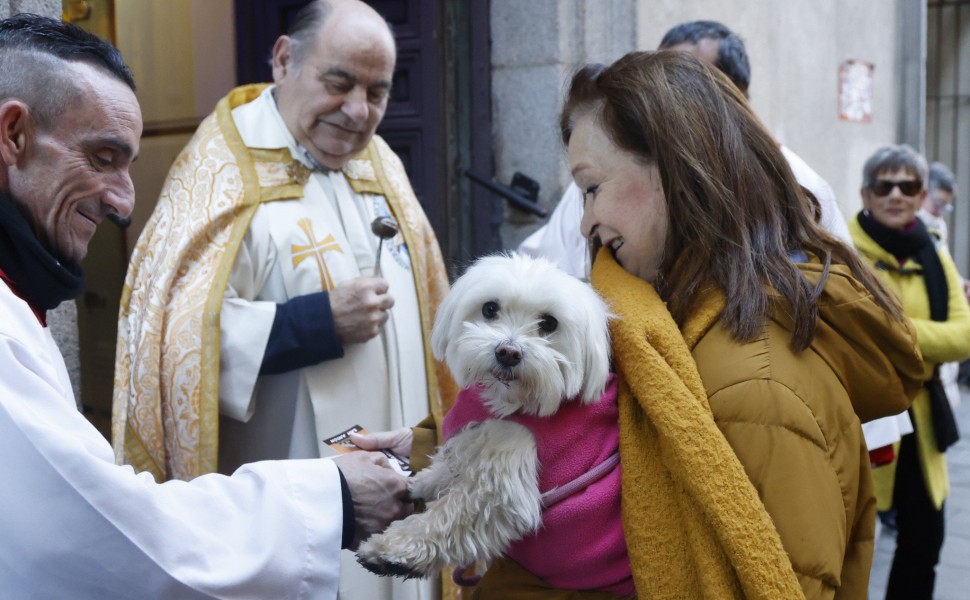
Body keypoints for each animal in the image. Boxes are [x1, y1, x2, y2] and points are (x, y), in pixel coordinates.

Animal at [360, 253, 632, 596]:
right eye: (490, 309)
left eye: (549, 323)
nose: (508, 352)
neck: (510, 403)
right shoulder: (476, 437)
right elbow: (450, 466)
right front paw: (424, 481)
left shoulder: (501, 477)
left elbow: (449, 516)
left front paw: (392, 550)